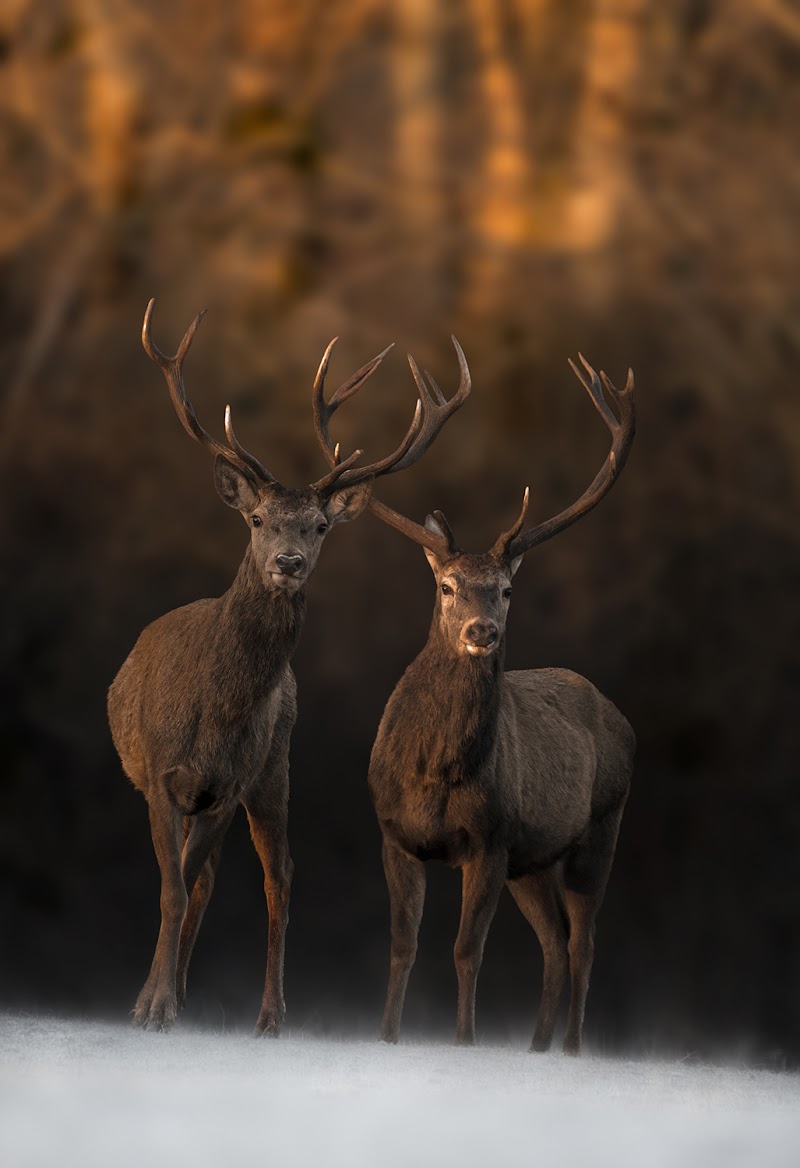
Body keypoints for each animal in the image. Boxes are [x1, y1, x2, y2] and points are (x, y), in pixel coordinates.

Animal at [106, 301, 467, 1032]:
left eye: (319, 527)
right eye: (256, 518)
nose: (288, 562)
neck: (211, 709)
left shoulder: (233, 778)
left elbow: (183, 885)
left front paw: (156, 1003)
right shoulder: (160, 774)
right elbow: (172, 888)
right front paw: (153, 1004)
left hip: (274, 769)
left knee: (278, 877)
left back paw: (270, 1014)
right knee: (202, 878)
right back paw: (182, 989)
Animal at [315, 350, 635, 1055]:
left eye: (507, 589)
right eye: (446, 584)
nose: (481, 631)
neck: (435, 772)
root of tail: (619, 715)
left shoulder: (489, 838)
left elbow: (467, 950)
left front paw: (464, 1045)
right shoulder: (396, 834)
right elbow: (402, 945)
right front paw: (386, 1038)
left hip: (600, 828)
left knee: (584, 943)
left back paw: (572, 1049)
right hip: (533, 860)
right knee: (554, 943)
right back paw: (538, 1048)